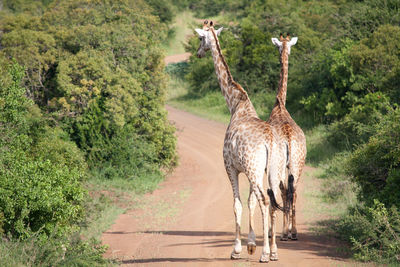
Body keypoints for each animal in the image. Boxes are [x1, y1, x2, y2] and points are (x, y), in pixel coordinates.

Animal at [195, 21, 286, 264]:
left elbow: (237, 203)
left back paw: (265, 254)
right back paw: (274, 252)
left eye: (200, 38)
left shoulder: (231, 167)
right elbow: (250, 201)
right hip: (273, 169)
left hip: (254, 169)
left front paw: (238, 249)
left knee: (266, 200)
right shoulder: (252, 170)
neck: (236, 105)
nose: (198, 53)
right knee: (273, 200)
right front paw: (251, 244)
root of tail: (270, 140)